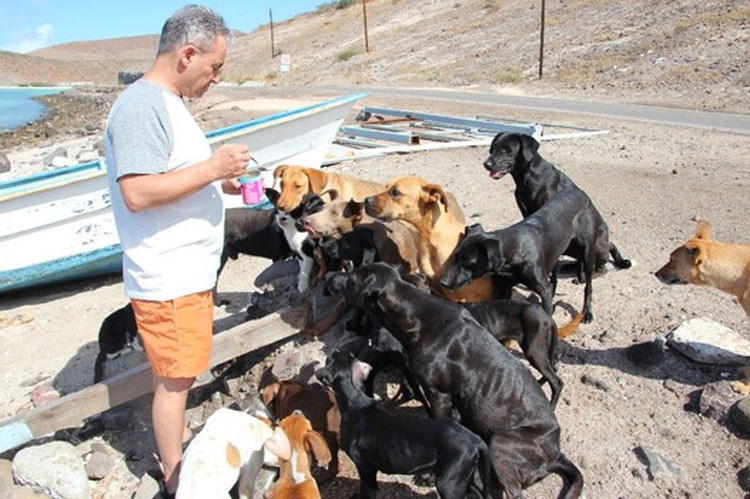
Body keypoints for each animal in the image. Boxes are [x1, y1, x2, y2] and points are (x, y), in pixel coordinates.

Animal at [314, 350, 490, 498]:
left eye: (330, 358)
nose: (334, 350)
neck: (354, 400)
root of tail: (474, 438)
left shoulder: (365, 467)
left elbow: (368, 491)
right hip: (467, 475)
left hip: (449, 482)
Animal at [484, 134, 632, 282]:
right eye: (493, 147)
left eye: (508, 150)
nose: (486, 164)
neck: (528, 176)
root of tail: (607, 244)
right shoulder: (527, 213)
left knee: (601, 267)